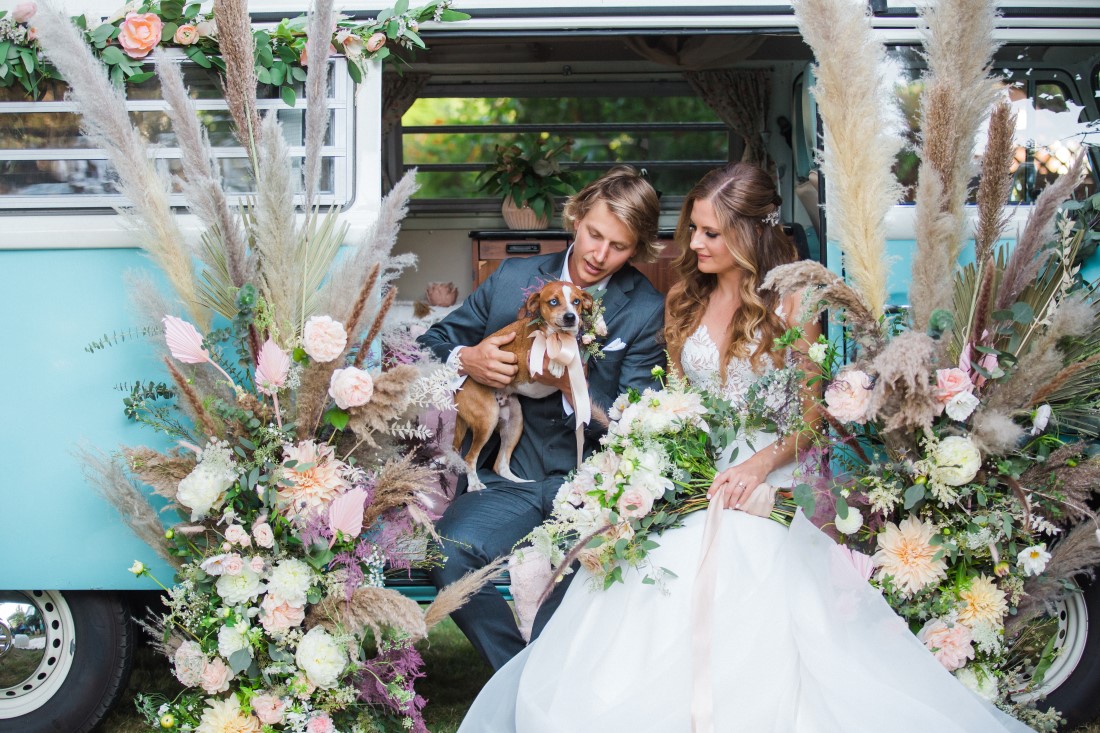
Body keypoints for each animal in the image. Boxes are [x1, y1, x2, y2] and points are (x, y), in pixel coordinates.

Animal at [453, 279, 598, 490]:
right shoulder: (528, 358)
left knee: (500, 464)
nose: (571, 317)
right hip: (487, 419)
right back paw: (474, 485)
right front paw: (556, 362)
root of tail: (456, 391)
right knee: (469, 458)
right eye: (553, 302)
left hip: (514, 422)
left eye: (576, 301)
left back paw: (521, 482)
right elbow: (549, 343)